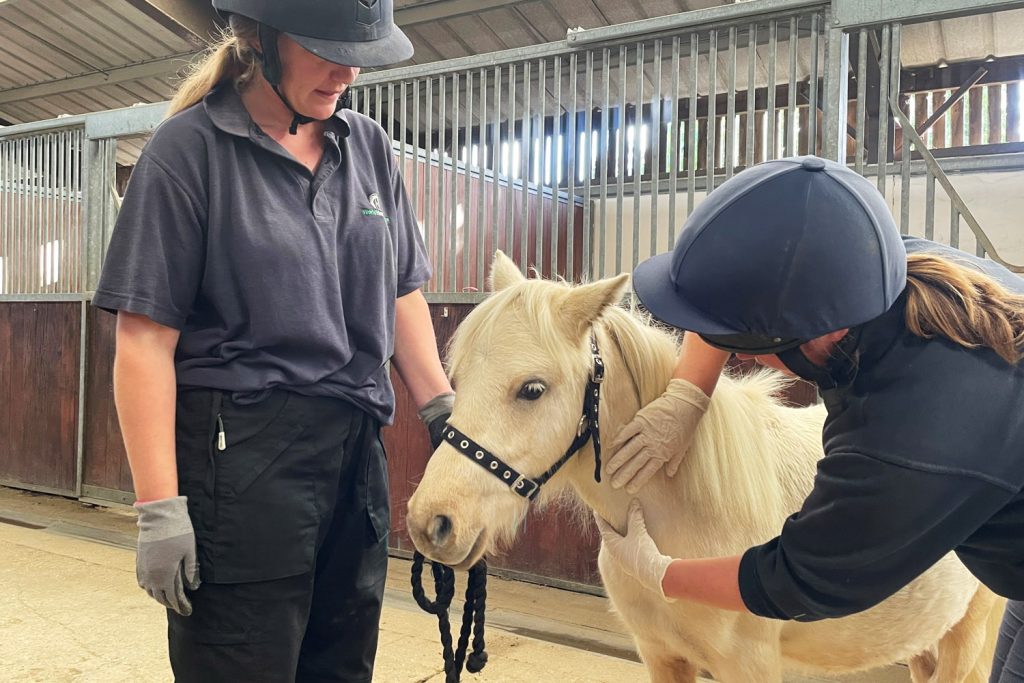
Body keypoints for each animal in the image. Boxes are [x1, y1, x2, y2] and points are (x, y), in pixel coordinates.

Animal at [405, 252, 999, 683]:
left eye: (532, 389)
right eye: (456, 377)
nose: (431, 523)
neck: (680, 514)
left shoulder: (749, 668)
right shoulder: (662, 657)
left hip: (971, 638)